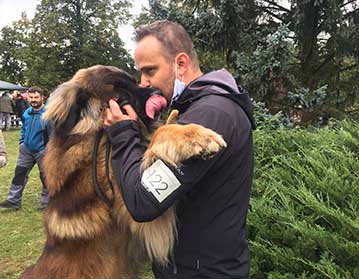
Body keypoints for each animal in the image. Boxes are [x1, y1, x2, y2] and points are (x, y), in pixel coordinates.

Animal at [19, 65, 225, 279]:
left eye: (134, 81)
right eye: (120, 89)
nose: (158, 93)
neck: (99, 137)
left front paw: (180, 123)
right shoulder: (136, 212)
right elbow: (158, 136)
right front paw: (195, 137)